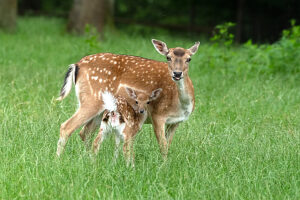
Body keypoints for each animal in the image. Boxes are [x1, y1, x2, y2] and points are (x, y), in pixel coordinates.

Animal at [56, 39, 199, 158]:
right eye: (168, 57)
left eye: (189, 59)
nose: (177, 73)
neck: (180, 105)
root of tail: (76, 65)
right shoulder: (158, 114)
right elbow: (163, 146)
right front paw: (163, 167)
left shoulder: (176, 121)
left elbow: (168, 145)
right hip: (92, 99)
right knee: (66, 127)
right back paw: (59, 161)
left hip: (100, 110)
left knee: (85, 132)